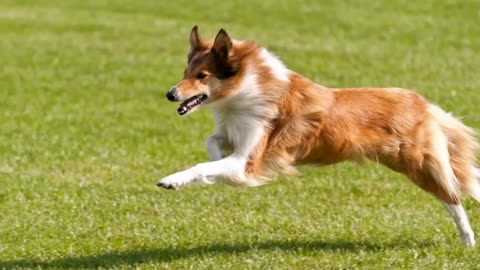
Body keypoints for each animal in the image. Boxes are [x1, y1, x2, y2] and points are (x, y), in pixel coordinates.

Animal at [158, 25, 480, 247]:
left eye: (202, 76)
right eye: (185, 72)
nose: (170, 94)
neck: (245, 90)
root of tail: (423, 103)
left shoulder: (247, 161)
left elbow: (204, 166)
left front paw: (172, 180)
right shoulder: (234, 135)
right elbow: (212, 142)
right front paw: (214, 159)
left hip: (419, 164)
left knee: (453, 198)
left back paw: (467, 241)